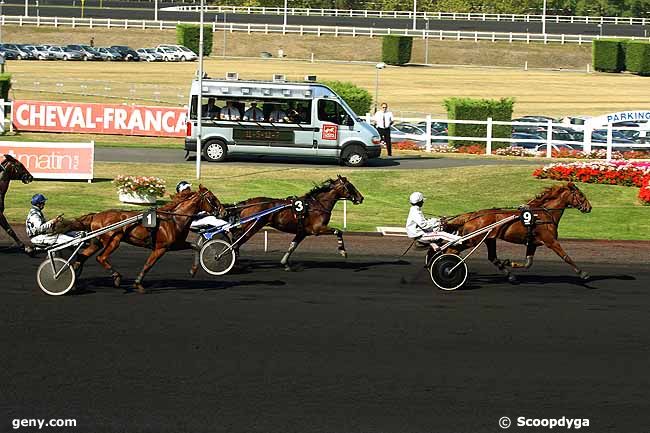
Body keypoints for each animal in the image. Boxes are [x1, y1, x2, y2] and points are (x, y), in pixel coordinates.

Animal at [62, 184, 225, 292]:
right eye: (212, 198)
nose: (223, 211)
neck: (174, 219)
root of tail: (95, 215)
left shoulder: (175, 244)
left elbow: (196, 246)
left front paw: (193, 270)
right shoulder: (160, 248)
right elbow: (148, 265)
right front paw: (138, 283)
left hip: (97, 242)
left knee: (81, 257)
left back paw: (73, 281)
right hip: (113, 240)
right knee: (101, 258)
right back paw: (116, 277)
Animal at [224, 174, 364, 268]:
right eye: (350, 186)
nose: (361, 198)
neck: (316, 205)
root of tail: (246, 203)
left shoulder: (302, 232)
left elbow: (293, 245)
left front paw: (285, 263)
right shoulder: (317, 229)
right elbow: (338, 231)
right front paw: (343, 251)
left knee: (235, 239)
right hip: (252, 227)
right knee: (237, 241)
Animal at [440, 181, 592, 282]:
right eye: (581, 195)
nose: (589, 207)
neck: (544, 215)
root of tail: (473, 215)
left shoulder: (532, 243)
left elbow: (528, 263)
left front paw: (509, 263)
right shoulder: (550, 241)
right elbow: (565, 256)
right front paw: (583, 273)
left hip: (489, 239)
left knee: (492, 257)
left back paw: (510, 275)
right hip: (472, 239)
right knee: (451, 250)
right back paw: (447, 269)